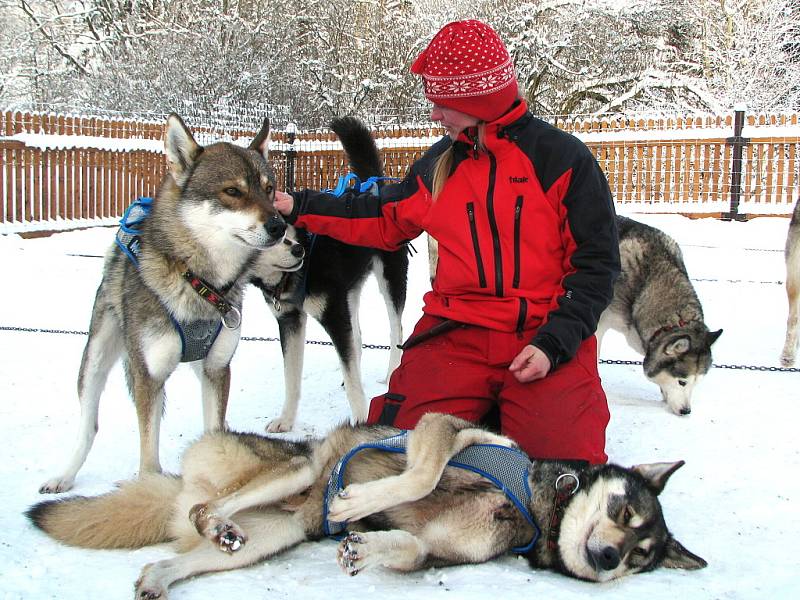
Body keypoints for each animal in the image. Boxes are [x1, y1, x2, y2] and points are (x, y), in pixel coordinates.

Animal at [26, 412, 708, 596]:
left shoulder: (436, 551)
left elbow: (407, 546)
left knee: (183, 551)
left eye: (639, 555)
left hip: (271, 538)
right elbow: (419, 476)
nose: (607, 557)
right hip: (297, 468)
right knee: (207, 511)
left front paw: (367, 544)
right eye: (624, 514)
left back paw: (163, 574)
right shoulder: (443, 430)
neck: (533, 505)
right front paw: (358, 502)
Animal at [35, 115, 304, 494]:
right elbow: (148, 451)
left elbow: (214, 431)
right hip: (96, 359)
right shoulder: (148, 375)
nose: (280, 227)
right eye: (232, 191)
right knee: (89, 423)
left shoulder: (217, 369)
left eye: (269, 189)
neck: (198, 281)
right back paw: (65, 474)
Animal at [248, 115, 406, 432]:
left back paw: (391, 373)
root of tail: (373, 184)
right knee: (358, 336)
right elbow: (292, 378)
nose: (298, 250)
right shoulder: (290, 320)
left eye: (280, 223)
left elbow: (355, 384)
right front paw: (286, 420)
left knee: (396, 330)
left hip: (390, 279)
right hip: (349, 290)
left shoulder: (333, 314)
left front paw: (360, 421)